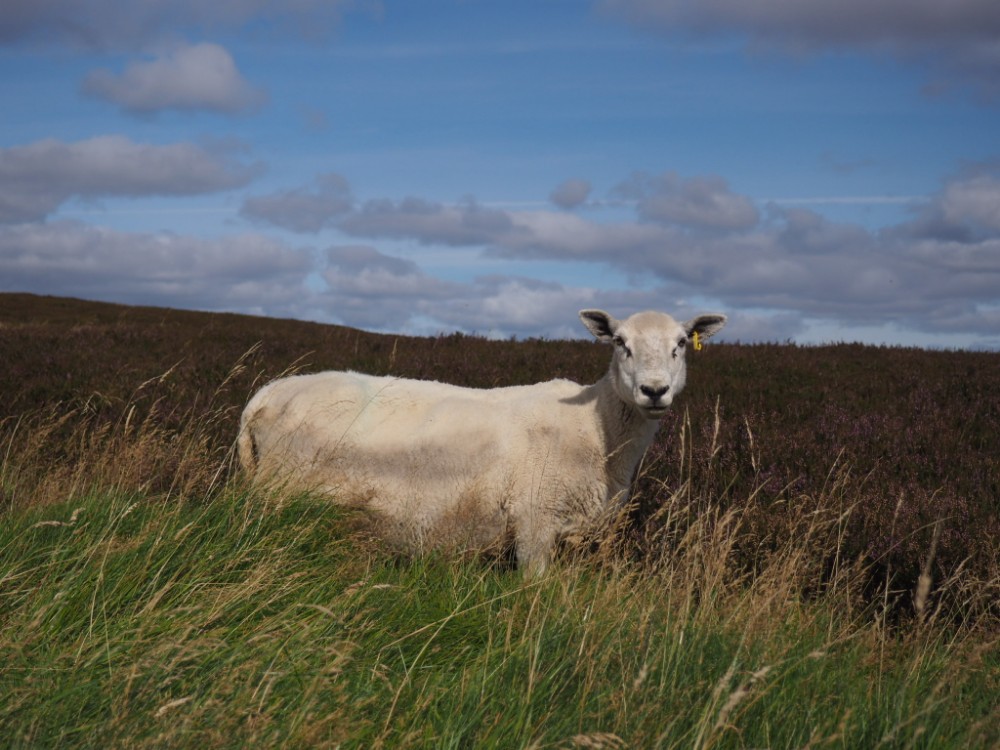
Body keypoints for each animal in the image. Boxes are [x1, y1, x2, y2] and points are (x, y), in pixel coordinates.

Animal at [237, 309, 726, 574]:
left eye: (681, 343)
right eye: (620, 343)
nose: (654, 390)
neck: (596, 426)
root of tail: (265, 396)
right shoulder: (534, 520)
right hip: (279, 497)